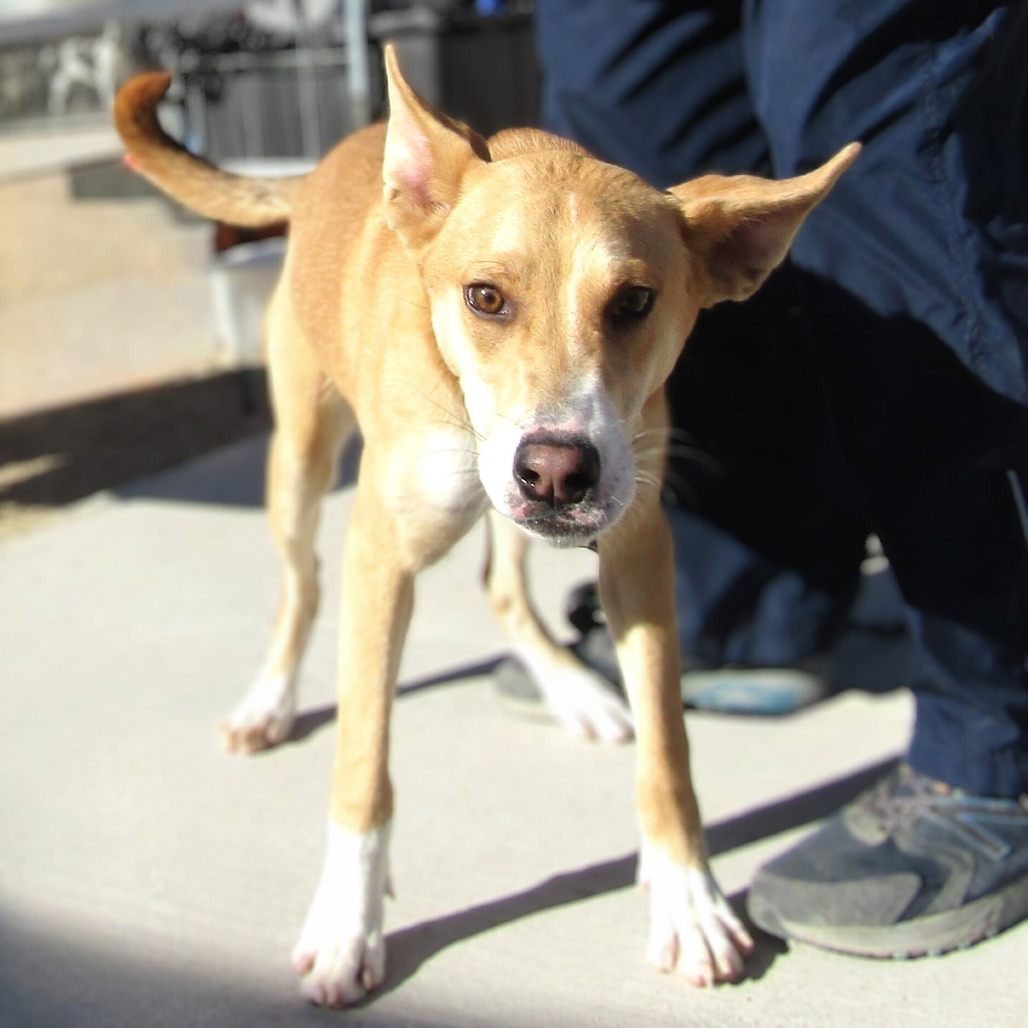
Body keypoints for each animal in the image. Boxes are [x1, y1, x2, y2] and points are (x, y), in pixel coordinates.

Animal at [114, 52, 859, 1007]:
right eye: (485, 298)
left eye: (636, 301)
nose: (559, 469)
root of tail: (324, 164)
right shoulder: (381, 554)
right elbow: (362, 763)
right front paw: (347, 922)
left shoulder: (637, 547)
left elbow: (669, 750)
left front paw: (688, 898)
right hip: (301, 463)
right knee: (302, 587)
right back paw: (268, 701)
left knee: (502, 587)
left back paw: (574, 690)